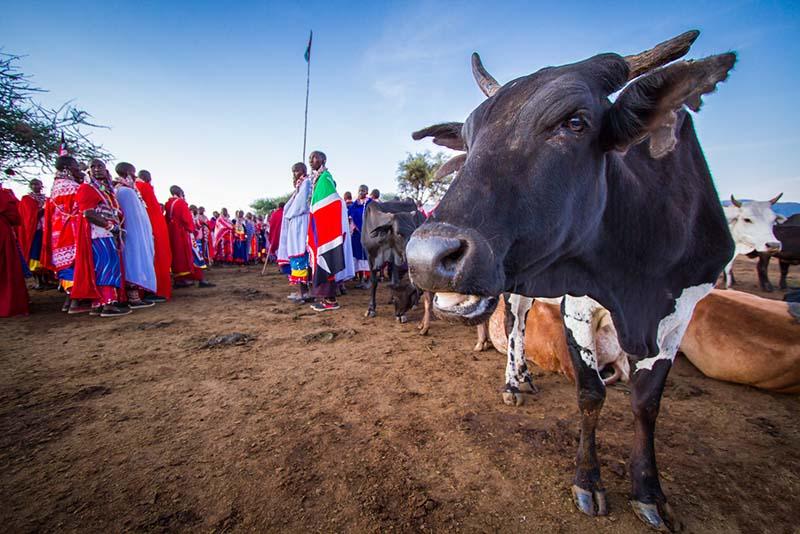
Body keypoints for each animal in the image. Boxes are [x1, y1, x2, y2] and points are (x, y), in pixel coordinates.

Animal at [406, 31, 736, 532]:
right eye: (468, 138)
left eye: (575, 122)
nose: (426, 257)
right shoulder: (580, 301)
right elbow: (590, 392)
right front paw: (588, 480)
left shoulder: (682, 313)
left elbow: (647, 403)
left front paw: (649, 492)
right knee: (517, 322)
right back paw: (514, 381)